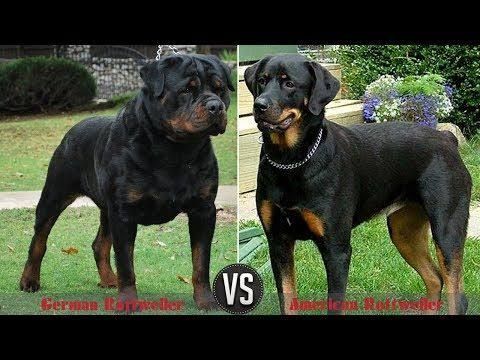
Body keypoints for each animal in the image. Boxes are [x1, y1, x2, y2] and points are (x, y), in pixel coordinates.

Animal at [20, 54, 234, 310]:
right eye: (186, 90)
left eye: (221, 90)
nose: (216, 106)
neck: (174, 150)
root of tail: (74, 128)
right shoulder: (124, 213)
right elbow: (126, 264)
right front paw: (128, 302)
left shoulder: (203, 210)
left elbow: (201, 261)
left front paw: (205, 300)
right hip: (55, 195)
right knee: (39, 240)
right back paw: (29, 280)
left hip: (106, 209)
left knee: (99, 244)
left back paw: (108, 279)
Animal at [246, 54, 470, 316]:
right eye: (261, 81)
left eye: (289, 83)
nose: (259, 105)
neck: (291, 162)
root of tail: (447, 139)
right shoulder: (278, 242)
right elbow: (287, 299)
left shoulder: (336, 249)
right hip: (403, 230)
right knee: (434, 278)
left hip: (447, 230)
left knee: (456, 295)